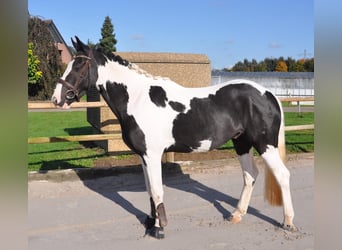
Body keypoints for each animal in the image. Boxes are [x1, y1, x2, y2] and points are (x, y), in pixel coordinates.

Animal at [51, 36, 296, 238]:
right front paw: (151, 223)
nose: (56, 99)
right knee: (250, 175)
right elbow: (150, 190)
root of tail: (268, 94)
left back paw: (288, 222)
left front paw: (160, 229)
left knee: (283, 175)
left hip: (265, 145)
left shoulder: (152, 155)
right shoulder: (143, 156)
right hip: (242, 142)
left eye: (79, 65)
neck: (137, 98)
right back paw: (236, 215)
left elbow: (158, 190)